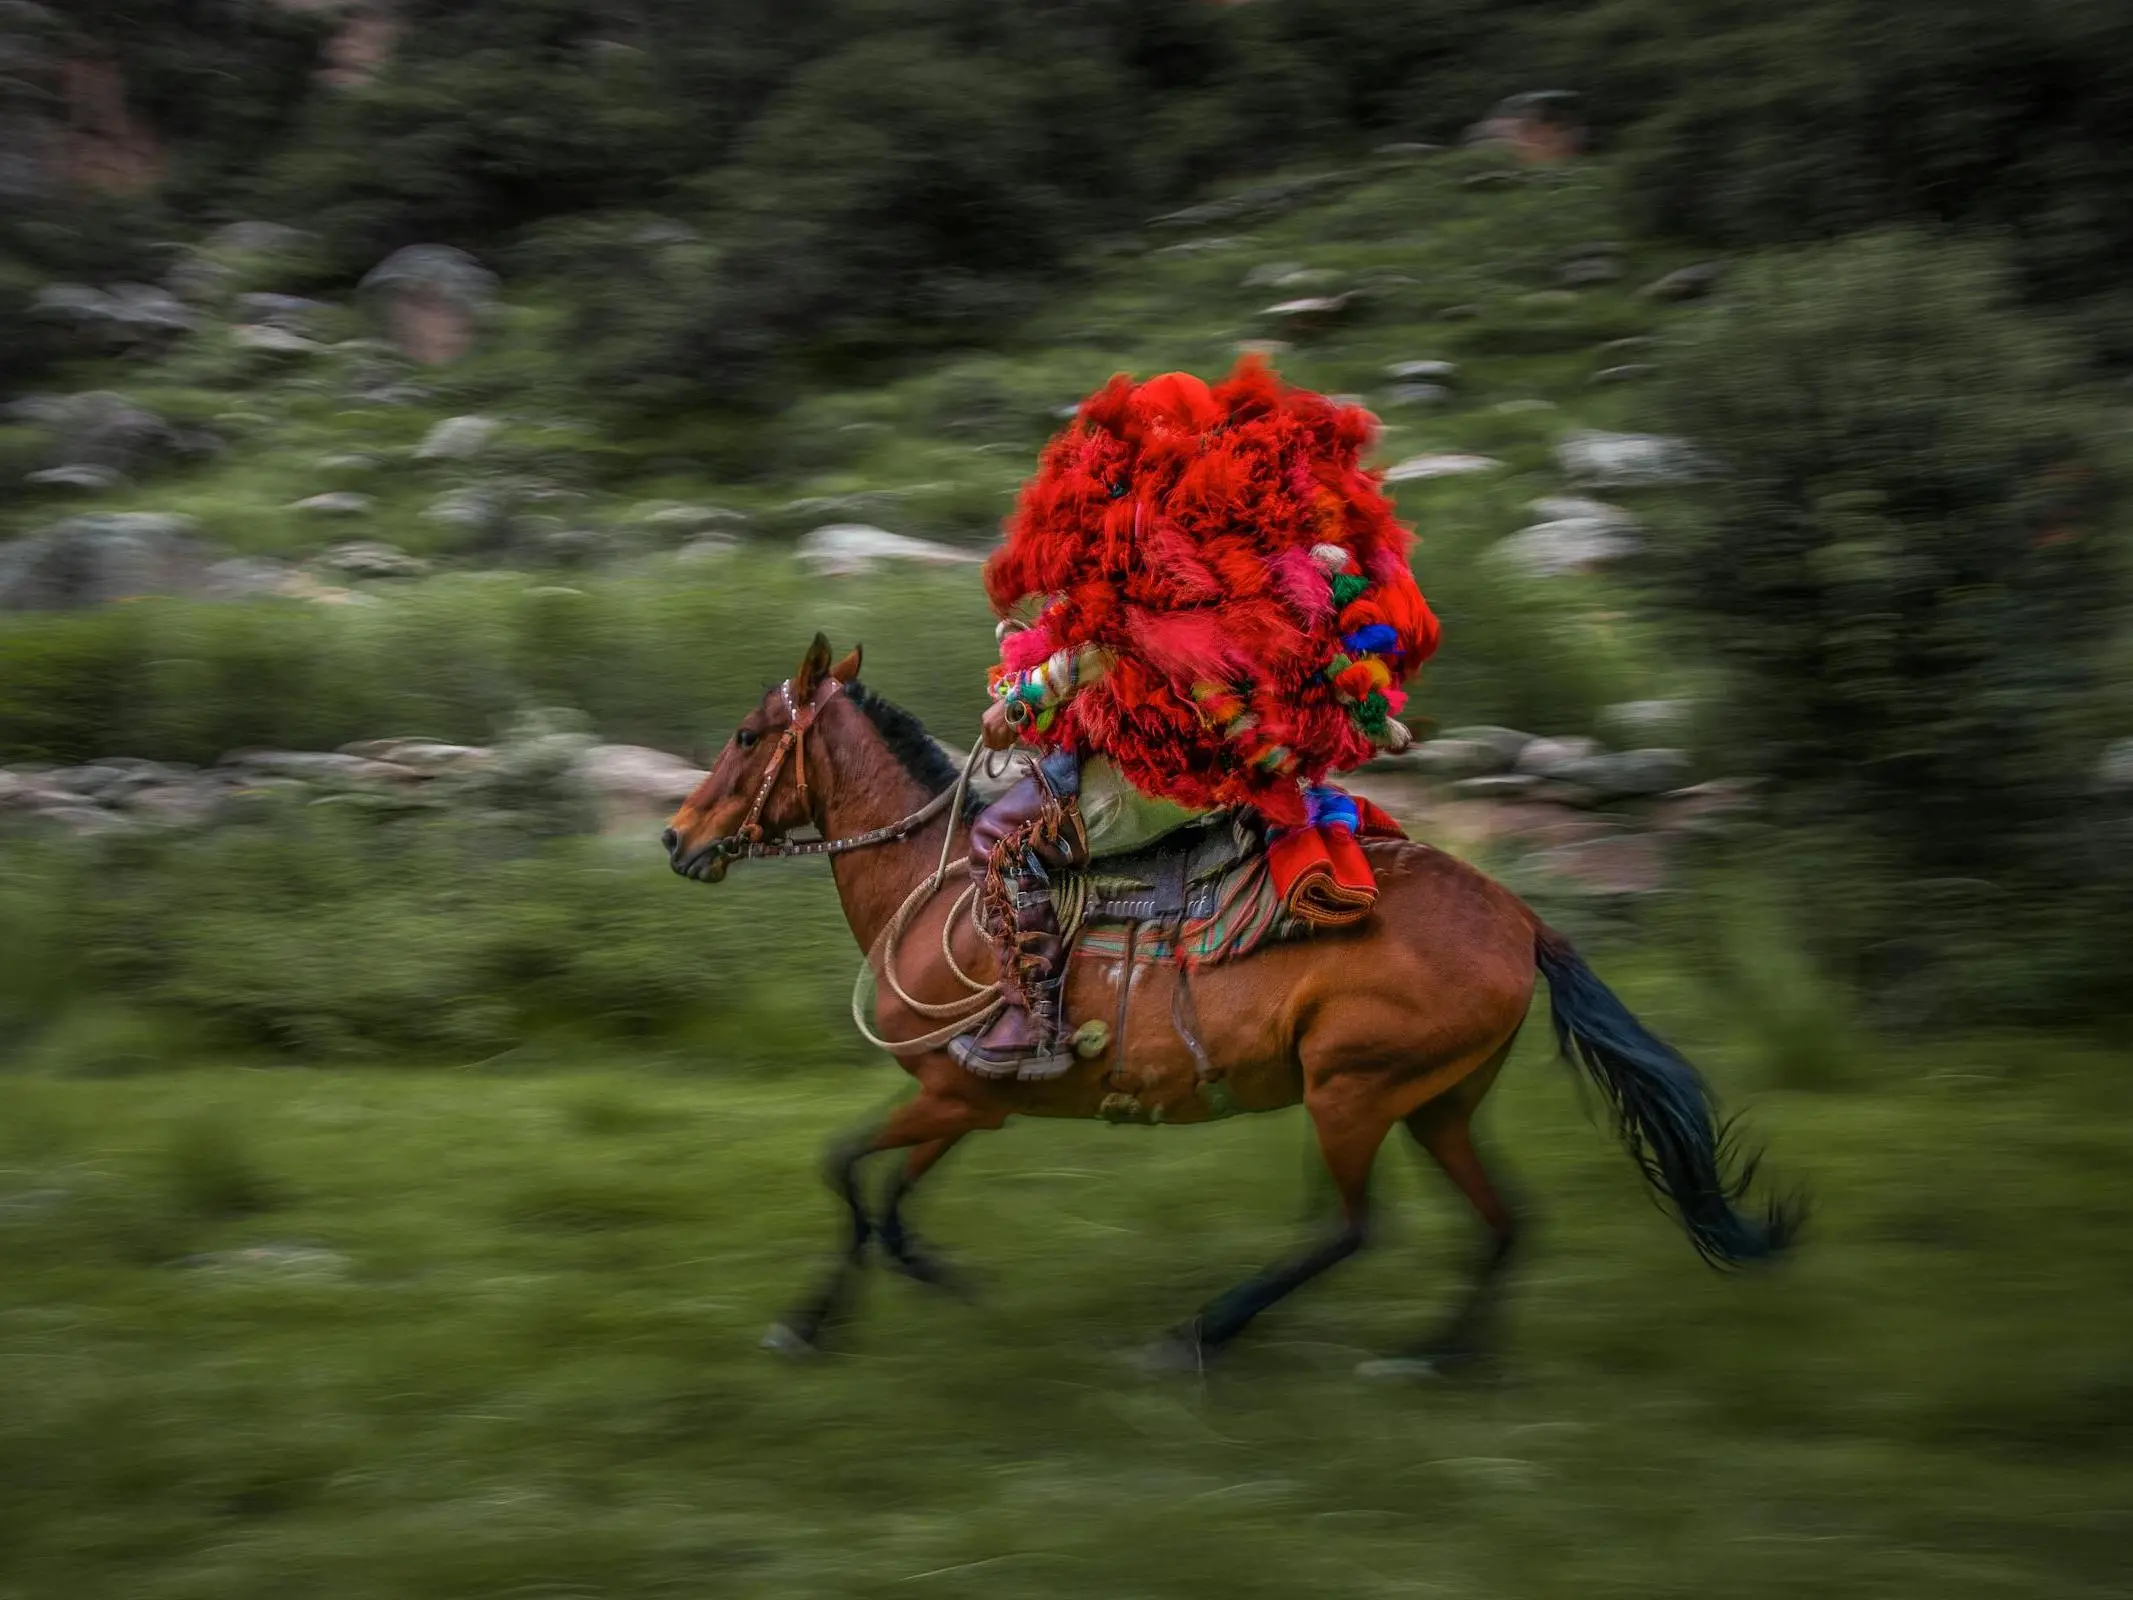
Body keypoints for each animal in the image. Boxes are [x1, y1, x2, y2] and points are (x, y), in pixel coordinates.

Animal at [665, 644, 1800, 1373]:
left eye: (748, 734)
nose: (677, 839)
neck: (934, 888)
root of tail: (1522, 918)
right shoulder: (965, 1104)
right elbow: (881, 1195)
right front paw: (886, 1293)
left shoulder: (952, 1094)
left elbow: (848, 1174)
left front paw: (828, 1316)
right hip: (1437, 1103)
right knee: (1503, 1222)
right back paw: (1437, 1360)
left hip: (1351, 1091)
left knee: (1351, 1226)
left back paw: (1199, 1336)